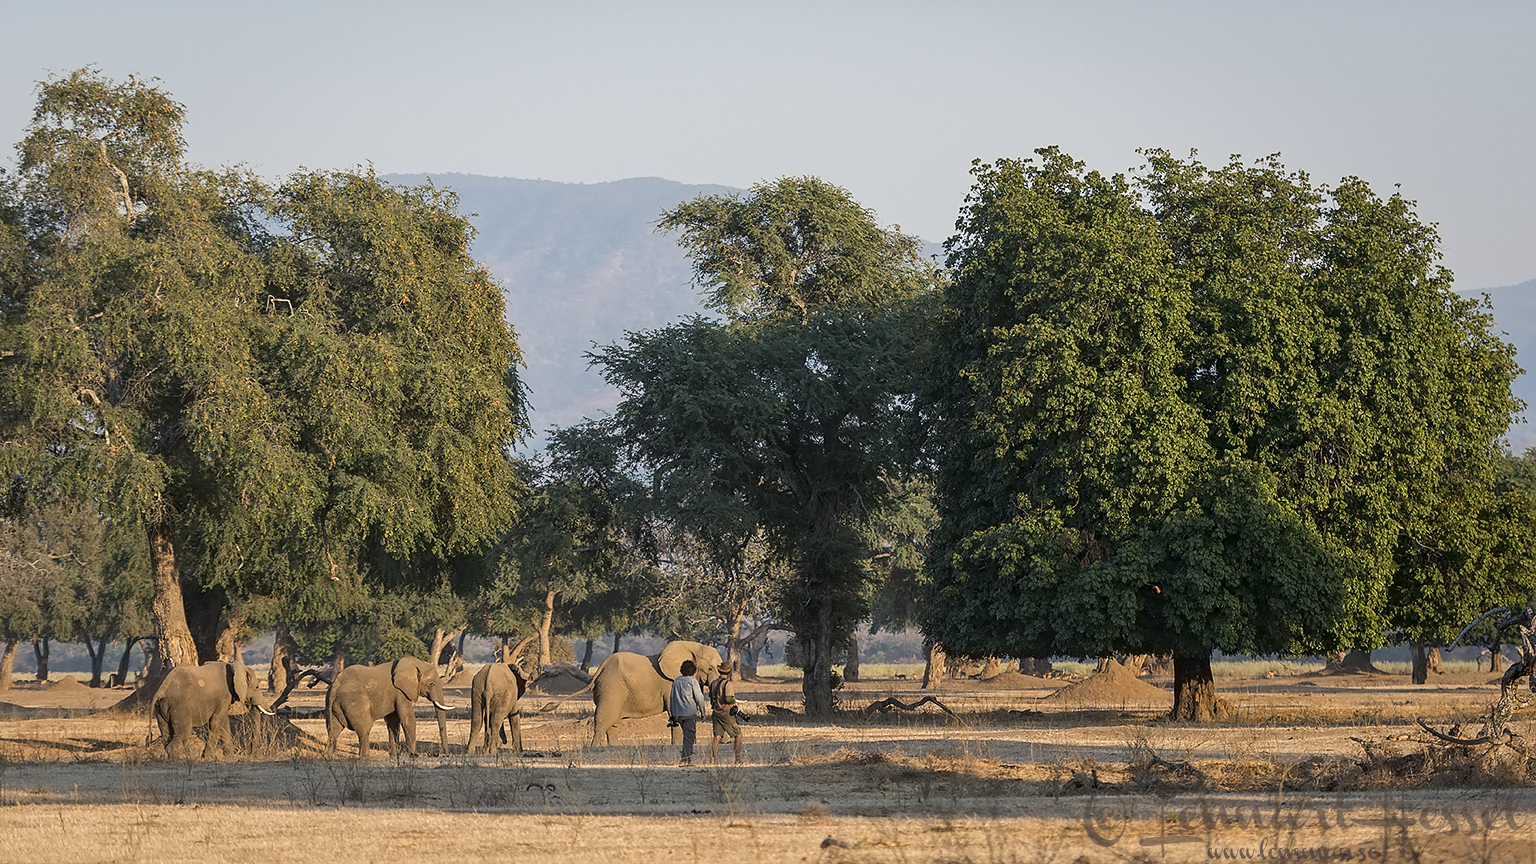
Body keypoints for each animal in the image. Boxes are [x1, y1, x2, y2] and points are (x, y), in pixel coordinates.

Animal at [325, 656, 455, 757]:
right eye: (431, 684)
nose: (446, 755)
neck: (415, 663)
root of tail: (334, 687)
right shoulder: (401, 692)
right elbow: (407, 719)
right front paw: (414, 756)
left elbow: (393, 721)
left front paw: (394, 755)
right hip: (354, 702)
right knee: (364, 729)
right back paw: (365, 757)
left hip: (333, 705)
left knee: (333, 730)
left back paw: (330, 756)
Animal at [542, 640, 723, 746]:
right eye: (710, 669)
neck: (692, 646)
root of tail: (599, 670)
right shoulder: (672, 684)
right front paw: (677, 745)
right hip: (611, 689)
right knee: (603, 722)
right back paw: (595, 748)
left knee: (613, 723)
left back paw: (615, 747)